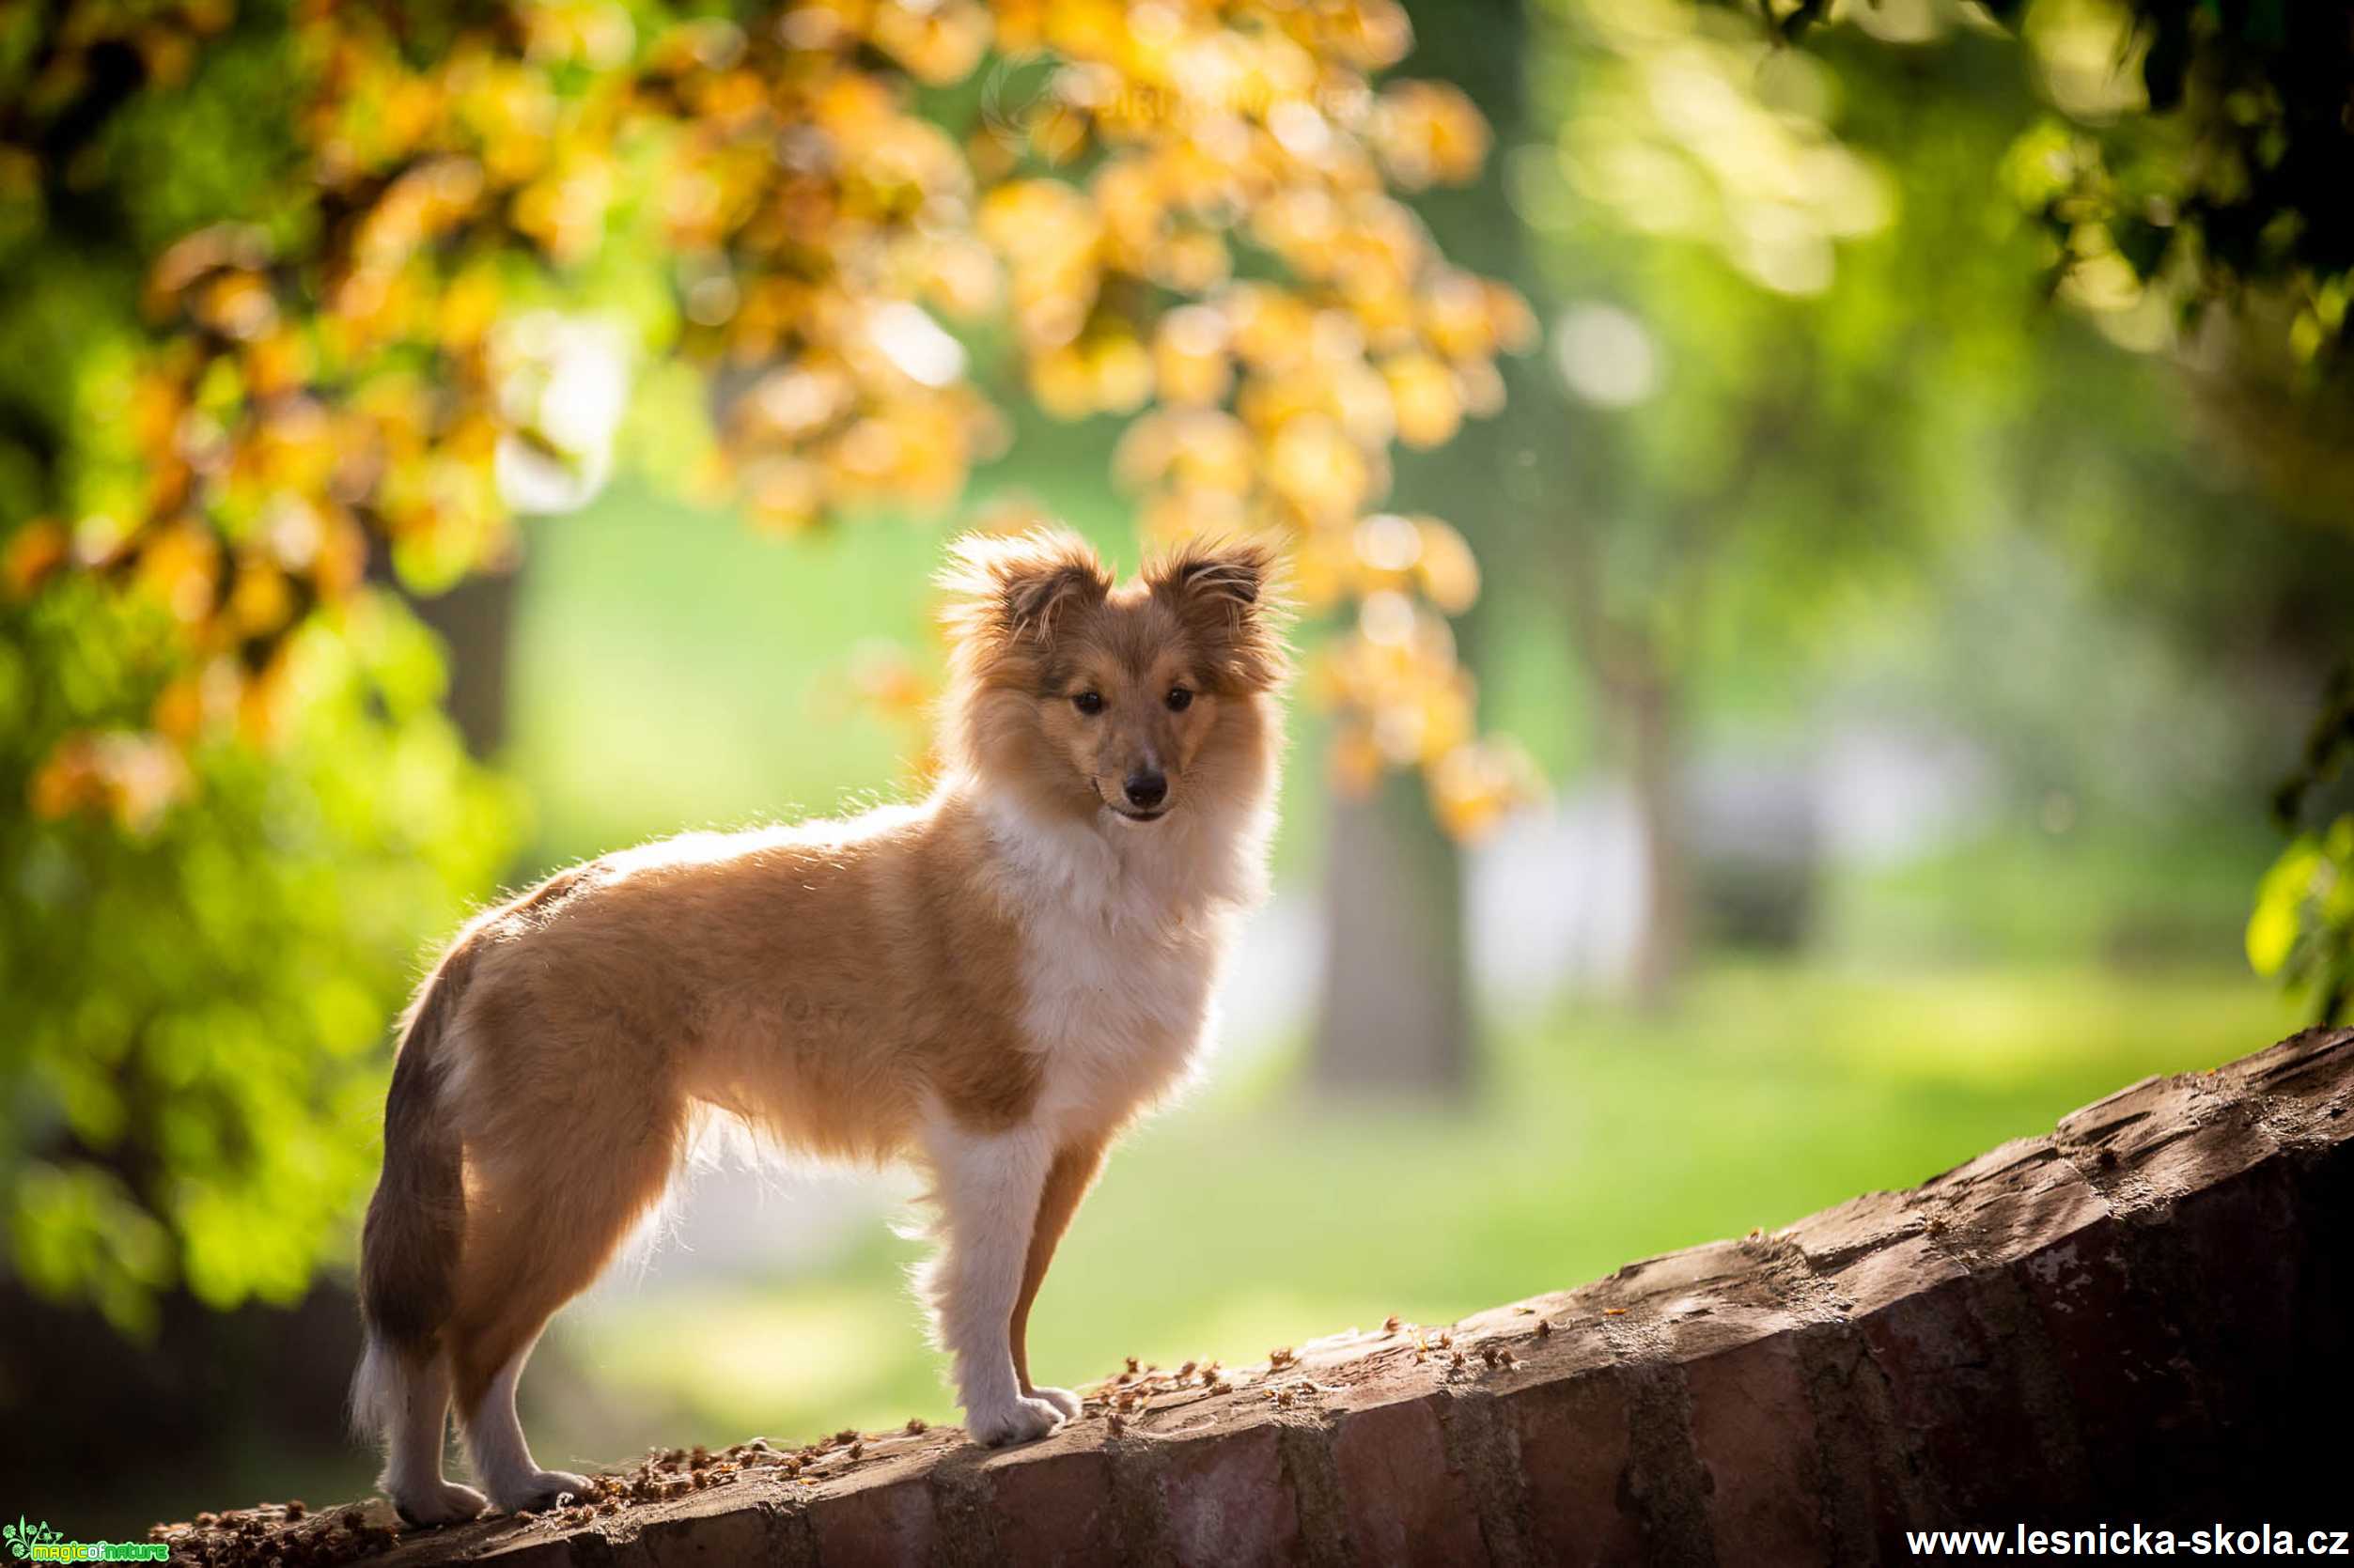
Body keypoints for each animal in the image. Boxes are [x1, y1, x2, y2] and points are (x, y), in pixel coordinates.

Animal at [348, 522, 1289, 1515]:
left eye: (1181, 696)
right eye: (1087, 700)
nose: (1145, 787)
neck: (1093, 862)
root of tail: (495, 928)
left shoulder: (1066, 1139)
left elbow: (1023, 1285)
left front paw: (1031, 1398)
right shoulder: (991, 1123)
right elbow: (984, 1282)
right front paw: (1001, 1418)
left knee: (437, 1332)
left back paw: (433, 1497)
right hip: (585, 1170)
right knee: (462, 1337)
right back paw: (499, 1486)